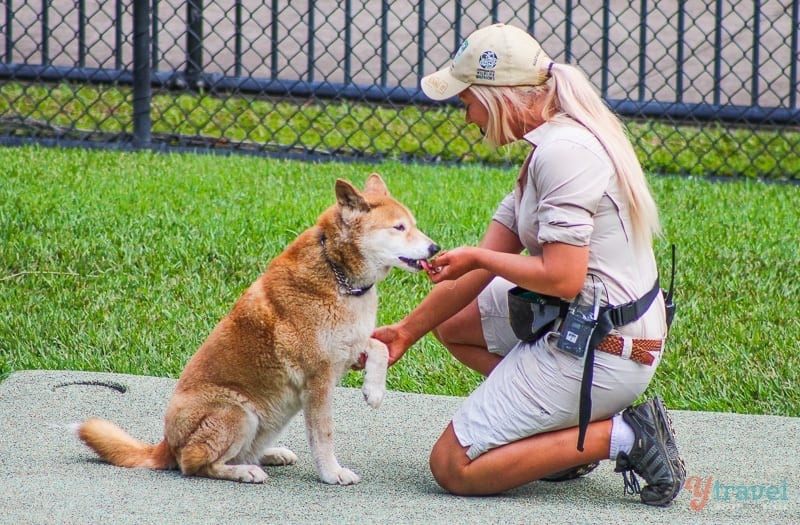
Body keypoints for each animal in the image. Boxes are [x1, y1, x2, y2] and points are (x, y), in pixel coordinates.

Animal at [76, 174, 438, 486]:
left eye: (414, 224)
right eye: (399, 227)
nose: (435, 248)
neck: (339, 276)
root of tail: (165, 443)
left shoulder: (349, 348)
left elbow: (381, 347)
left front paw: (374, 390)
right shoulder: (319, 378)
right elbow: (323, 435)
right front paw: (331, 473)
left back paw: (268, 455)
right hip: (238, 414)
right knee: (194, 463)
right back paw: (244, 471)